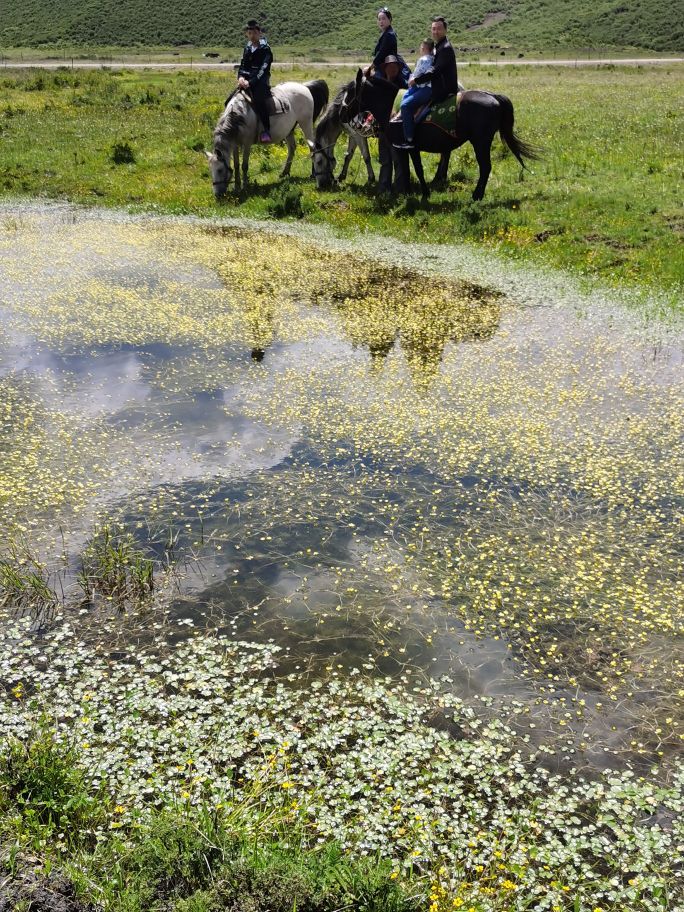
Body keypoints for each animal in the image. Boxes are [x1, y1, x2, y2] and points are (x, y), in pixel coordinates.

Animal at [339, 70, 540, 200]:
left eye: (350, 92)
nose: (341, 114)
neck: (391, 109)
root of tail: (492, 96)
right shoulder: (406, 148)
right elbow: (408, 169)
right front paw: (411, 192)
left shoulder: (407, 146)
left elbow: (415, 169)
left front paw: (421, 194)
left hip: (481, 142)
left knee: (485, 167)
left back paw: (476, 195)